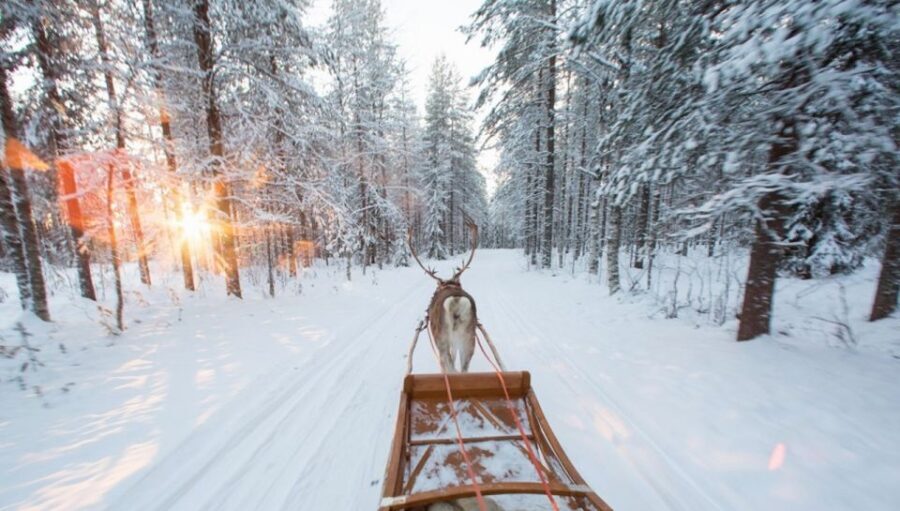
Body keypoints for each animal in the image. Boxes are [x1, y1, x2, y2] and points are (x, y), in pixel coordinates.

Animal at [409, 222, 480, 373]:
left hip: (442, 342)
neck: (449, 285)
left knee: (449, 368)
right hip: (468, 341)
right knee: (463, 370)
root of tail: (456, 302)